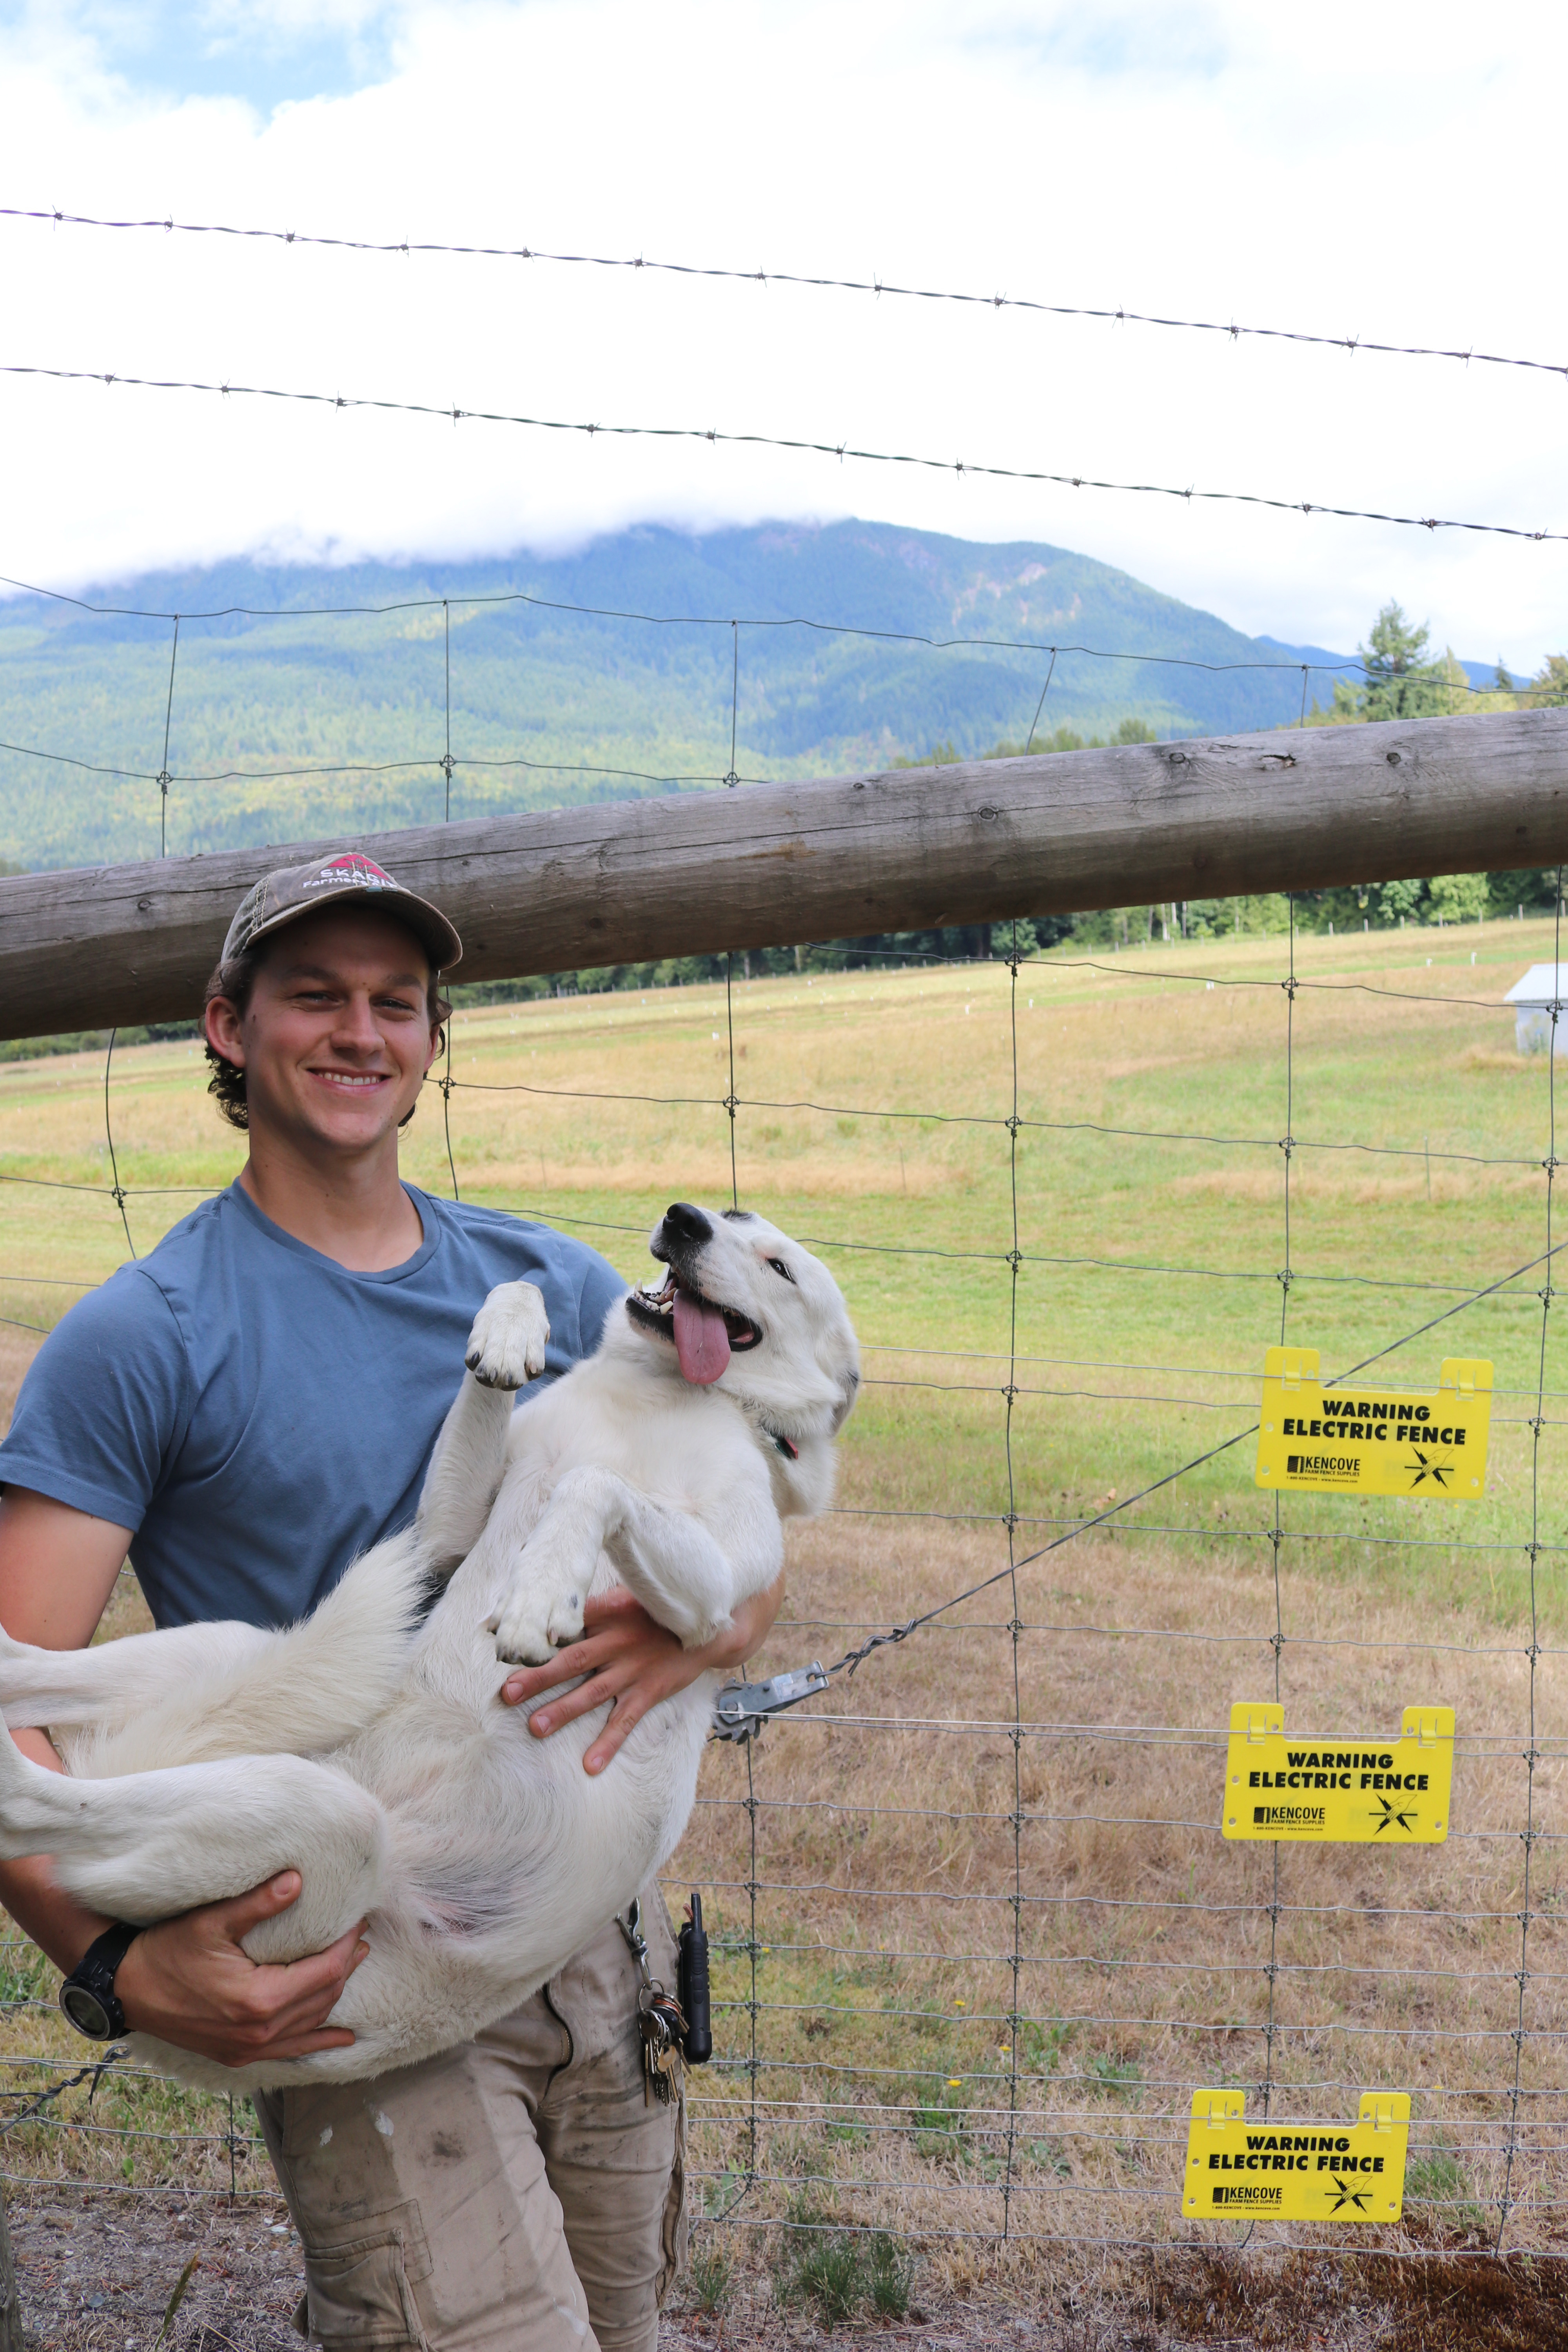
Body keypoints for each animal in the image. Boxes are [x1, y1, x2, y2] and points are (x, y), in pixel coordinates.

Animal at [0, 1214, 860, 2098]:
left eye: (779, 1266)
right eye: (728, 1222)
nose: (683, 1217)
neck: (669, 1394)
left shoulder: (713, 1603)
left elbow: (594, 1486)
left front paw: (540, 1590)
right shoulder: (442, 1533)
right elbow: (516, 1316)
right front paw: (509, 1333)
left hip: (321, 1820)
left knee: (28, 1803)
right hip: (242, 1664)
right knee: (37, 1677)